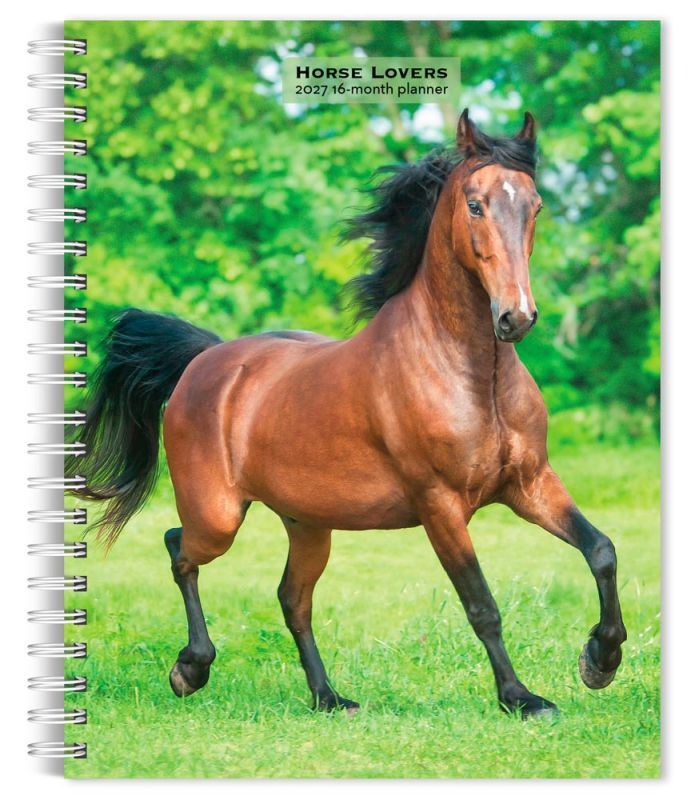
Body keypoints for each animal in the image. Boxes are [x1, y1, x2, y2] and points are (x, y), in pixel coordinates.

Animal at [70, 109, 627, 717]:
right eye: (476, 204)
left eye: (535, 205)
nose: (516, 317)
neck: (476, 378)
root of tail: (205, 360)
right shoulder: (440, 505)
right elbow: (482, 604)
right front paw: (521, 698)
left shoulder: (529, 484)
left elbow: (601, 549)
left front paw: (600, 660)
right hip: (218, 516)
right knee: (179, 549)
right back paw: (190, 669)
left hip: (308, 524)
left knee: (292, 598)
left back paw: (327, 696)